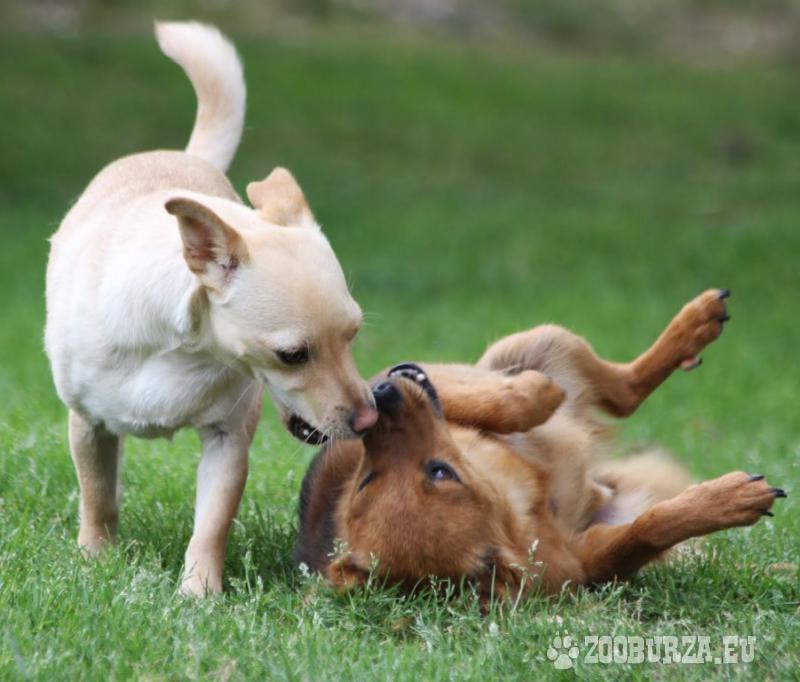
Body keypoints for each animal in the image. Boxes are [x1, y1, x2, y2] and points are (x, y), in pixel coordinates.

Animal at [44, 21, 378, 596]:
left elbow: (212, 522)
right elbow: (97, 496)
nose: (368, 417)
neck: (182, 350)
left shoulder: (228, 441)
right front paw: (95, 561)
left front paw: (198, 593)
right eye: (292, 355)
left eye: (353, 335)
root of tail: (188, 157)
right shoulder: (87, 424)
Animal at [295, 290, 785, 599]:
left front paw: (534, 394)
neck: (519, 504)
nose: (384, 398)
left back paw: (693, 325)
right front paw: (730, 499)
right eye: (440, 471)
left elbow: (489, 401)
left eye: (364, 480)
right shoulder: (585, 560)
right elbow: (649, 527)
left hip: (539, 341)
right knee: (625, 398)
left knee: (622, 386)